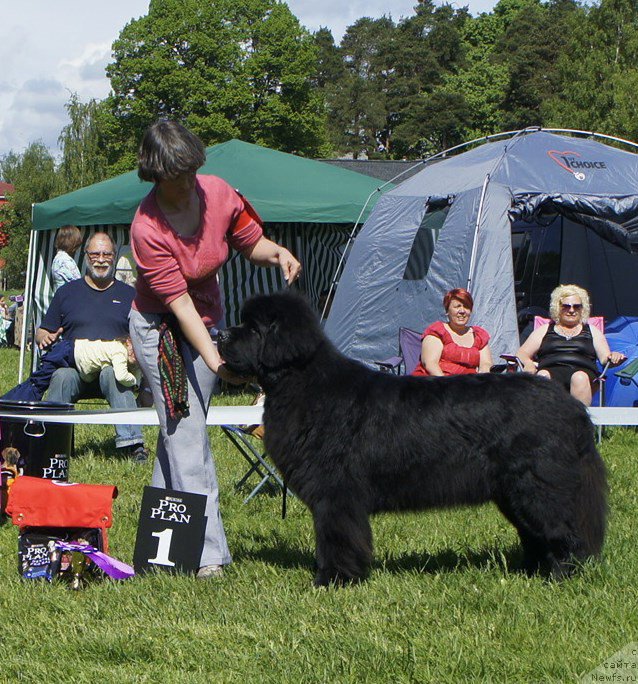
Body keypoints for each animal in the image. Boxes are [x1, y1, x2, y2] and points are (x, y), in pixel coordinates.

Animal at [220, 292, 608, 584]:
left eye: (253, 328)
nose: (220, 334)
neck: (301, 379)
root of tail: (571, 406)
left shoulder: (336, 492)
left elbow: (337, 537)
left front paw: (334, 579)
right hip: (513, 493)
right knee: (536, 535)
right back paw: (529, 572)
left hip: (539, 487)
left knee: (564, 533)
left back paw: (559, 577)